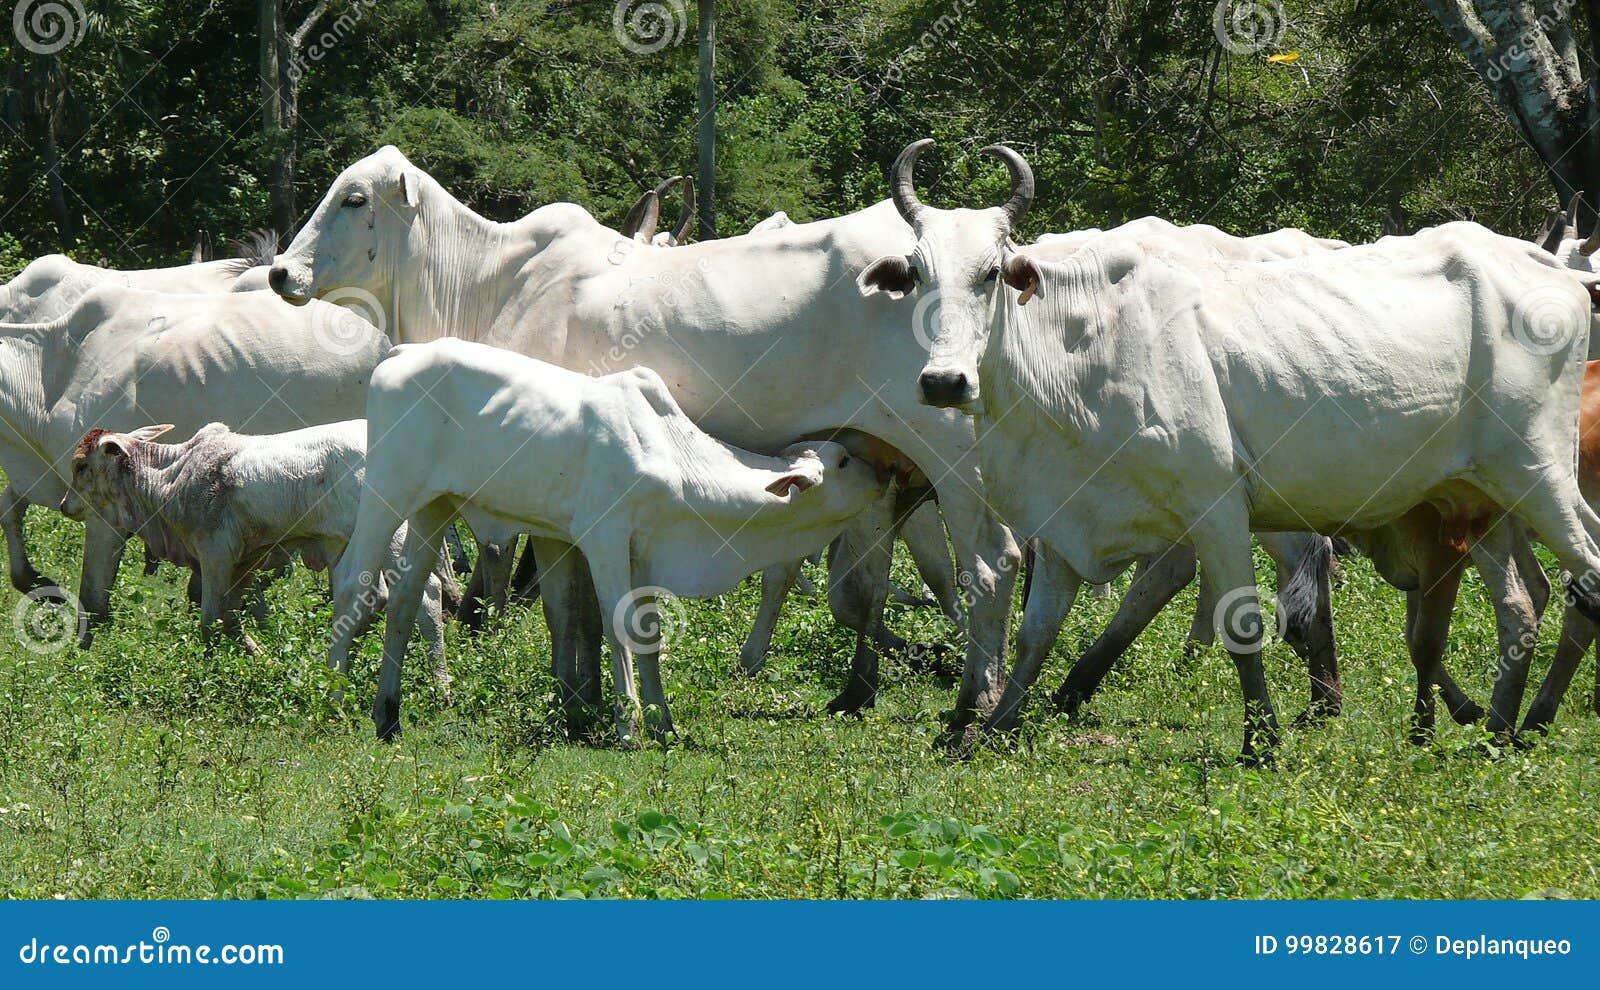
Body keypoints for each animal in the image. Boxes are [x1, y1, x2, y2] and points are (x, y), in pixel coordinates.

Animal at [0, 286, 387, 642]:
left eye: (82, 467)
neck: (51, 376)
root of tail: (381, 342)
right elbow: (8, 511)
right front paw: (35, 582)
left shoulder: (105, 513)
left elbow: (93, 601)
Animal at [334, 337, 889, 738]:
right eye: (843, 461)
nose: (885, 474)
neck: (673, 454)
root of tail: (402, 352)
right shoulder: (604, 537)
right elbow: (618, 625)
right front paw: (629, 725)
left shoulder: (644, 550)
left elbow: (649, 634)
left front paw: (664, 722)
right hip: (387, 494)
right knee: (352, 581)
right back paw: (335, 696)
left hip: (435, 506)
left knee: (407, 600)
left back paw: (388, 713)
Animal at [870, 139, 1600, 758]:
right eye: (916, 274)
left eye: (991, 274)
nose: (944, 381)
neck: (1083, 349)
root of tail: (1550, 270)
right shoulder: (1068, 519)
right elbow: (1035, 633)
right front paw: (991, 726)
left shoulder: (1216, 508)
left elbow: (1242, 627)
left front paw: (1262, 740)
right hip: (1482, 499)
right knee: (1524, 606)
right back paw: (1504, 726)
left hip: (1539, 477)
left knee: (1584, 581)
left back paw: (1528, 722)